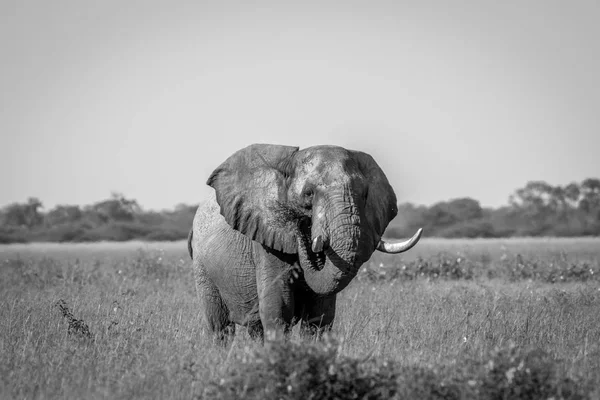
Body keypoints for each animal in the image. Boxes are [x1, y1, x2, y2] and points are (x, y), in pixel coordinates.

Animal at [188, 144, 422, 344]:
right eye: (308, 193)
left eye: (365, 195)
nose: (302, 226)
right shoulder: (265, 239)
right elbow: (278, 308)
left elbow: (319, 316)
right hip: (202, 269)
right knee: (220, 327)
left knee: (255, 328)